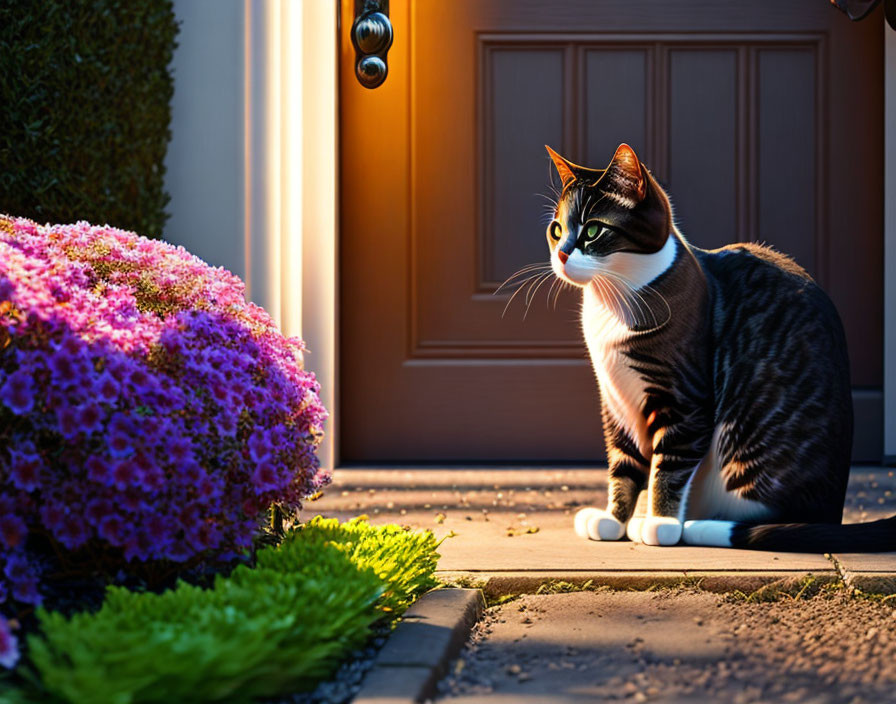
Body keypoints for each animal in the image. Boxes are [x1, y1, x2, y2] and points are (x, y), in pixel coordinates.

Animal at [544, 142, 896, 552]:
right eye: (557, 229)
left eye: (593, 230)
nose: (562, 254)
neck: (610, 302)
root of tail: (832, 513)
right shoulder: (615, 401)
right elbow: (623, 461)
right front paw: (614, 519)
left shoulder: (685, 398)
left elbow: (670, 463)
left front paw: (661, 522)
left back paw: (696, 525)